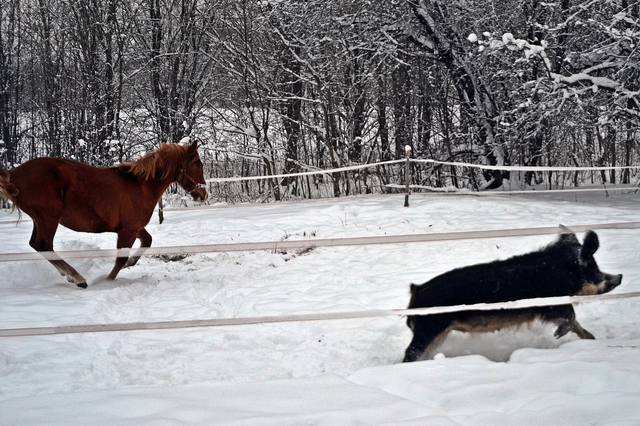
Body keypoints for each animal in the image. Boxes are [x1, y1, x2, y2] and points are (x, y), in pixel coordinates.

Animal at [0, 141, 208, 288]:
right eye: (198, 164)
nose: (204, 194)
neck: (140, 185)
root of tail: (14, 173)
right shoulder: (127, 231)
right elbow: (120, 259)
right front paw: (106, 281)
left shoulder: (134, 227)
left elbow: (146, 242)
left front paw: (130, 263)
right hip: (48, 218)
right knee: (43, 245)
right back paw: (78, 279)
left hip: (40, 219)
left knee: (37, 245)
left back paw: (69, 276)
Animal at [402, 230, 624, 362]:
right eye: (593, 268)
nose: (620, 277)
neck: (560, 271)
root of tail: (417, 290)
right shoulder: (551, 306)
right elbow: (571, 317)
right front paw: (557, 335)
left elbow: (575, 322)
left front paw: (591, 338)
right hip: (428, 328)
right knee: (411, 352)